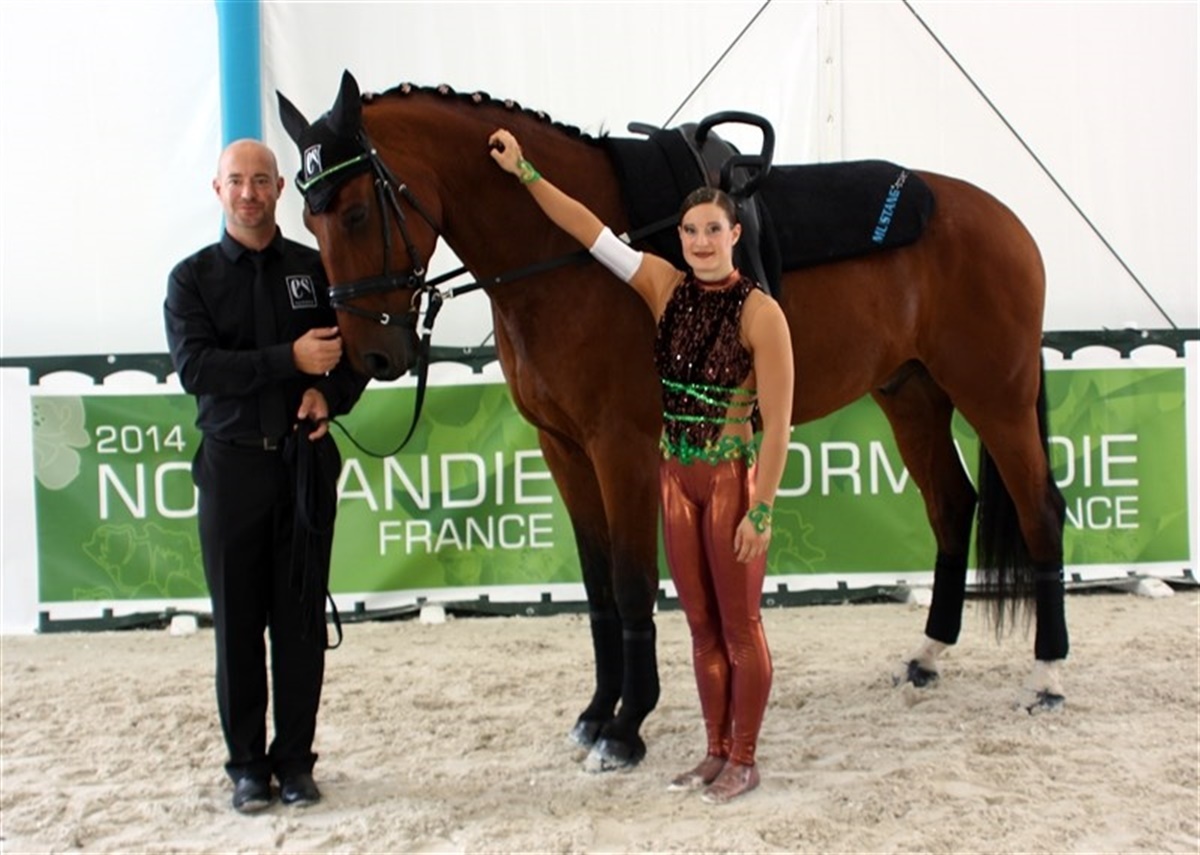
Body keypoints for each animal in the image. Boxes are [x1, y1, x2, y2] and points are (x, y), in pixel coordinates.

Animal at [276, 70, 1068, 771]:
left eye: (353, 211)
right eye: (307, 215)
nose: (373, 353)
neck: (572, 257)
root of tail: (1005, 221)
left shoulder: (620, 447)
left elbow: (630, 584)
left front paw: (626, 729)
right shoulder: (563, 449)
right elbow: (597, 588)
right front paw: (597, 713)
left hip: (995, 396)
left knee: (1040, 513)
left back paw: (1048, 676)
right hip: (911, 395)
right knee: (952, 506)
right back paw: (929, 655)